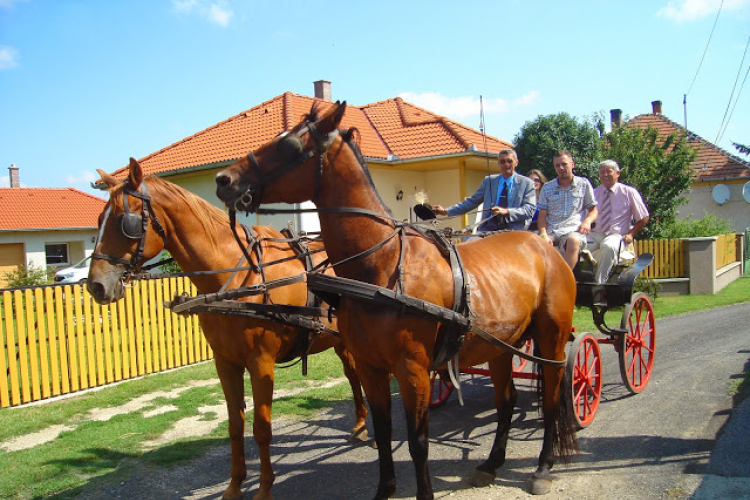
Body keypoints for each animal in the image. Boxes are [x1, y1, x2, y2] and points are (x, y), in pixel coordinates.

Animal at [88, 158, 370, 498]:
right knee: (354, 375)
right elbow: (235, 425)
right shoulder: (225, 362)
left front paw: (264, 488)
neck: (237, 277)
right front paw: (235, 485)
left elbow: (261, 427)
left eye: (124, 221)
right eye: (99, 219)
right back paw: (360, 425)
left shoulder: (260, 363)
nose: (96, 286)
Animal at [217, 102, 580, 500]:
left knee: (551, 398)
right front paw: (384, 489)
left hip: (551, 339)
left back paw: (543, 467)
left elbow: (418, 442)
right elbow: (384, 432)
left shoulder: (412, 370)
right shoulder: (370, 367)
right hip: (500, 345)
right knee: (507, 400)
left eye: (289, 146)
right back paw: (491, 463)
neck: (381, 263)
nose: (223, 180)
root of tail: (543, 246)